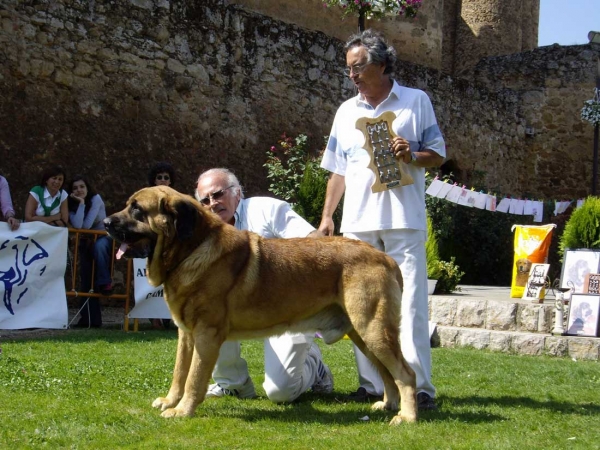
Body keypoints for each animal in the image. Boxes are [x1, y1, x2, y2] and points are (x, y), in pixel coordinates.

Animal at [105, 185, 418, 424]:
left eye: (137, 210)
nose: (106, 223)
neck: (190, 250)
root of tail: (385, 258)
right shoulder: (187, 333)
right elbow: (180, 372)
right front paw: (170, 401)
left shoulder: (206, 333)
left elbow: (194, 376)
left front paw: (182, 411)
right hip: (363, 334)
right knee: (386, 372)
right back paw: (388, 405)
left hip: (373, 329)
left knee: (405, 373)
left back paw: (407, 416)